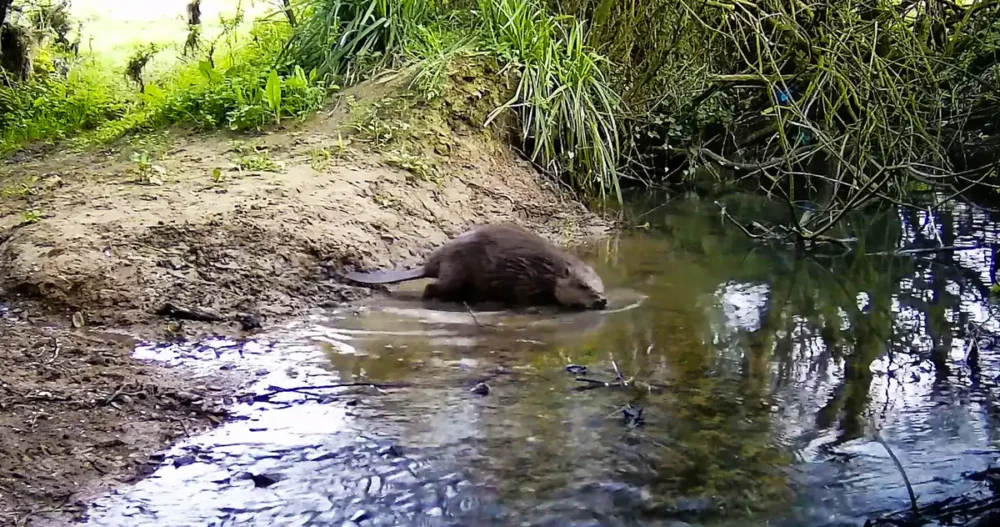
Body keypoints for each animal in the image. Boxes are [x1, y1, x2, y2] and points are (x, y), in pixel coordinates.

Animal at [344, 223, 608, 310]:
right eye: (583, 286)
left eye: (600, 285)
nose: (602, 300)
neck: (548, 269)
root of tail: (429, 265)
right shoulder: (527, 277)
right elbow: (524, 297)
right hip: (455, 272)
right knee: (433, 287)